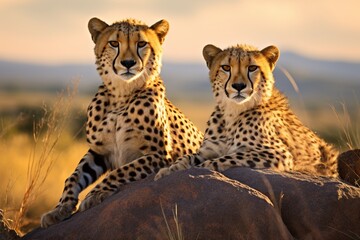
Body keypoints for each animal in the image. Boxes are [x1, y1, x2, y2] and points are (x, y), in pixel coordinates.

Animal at [41, 17, 204, 228]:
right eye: (113, 43)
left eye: (141, 44)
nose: (128, 63)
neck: (122, 96)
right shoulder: (100, 152)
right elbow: (73, 176)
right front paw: (60, 208)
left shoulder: (161, 155)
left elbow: (121, 170)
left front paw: (95, 194)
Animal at [156, 43, 338, 180]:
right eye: (225, 67)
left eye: (252, 68)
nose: (238, 86)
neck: (232, 113)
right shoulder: (208, 150)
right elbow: (187, 157)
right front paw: (169, 169)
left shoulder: (279, 153)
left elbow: (228, 157)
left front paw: (203, 167)